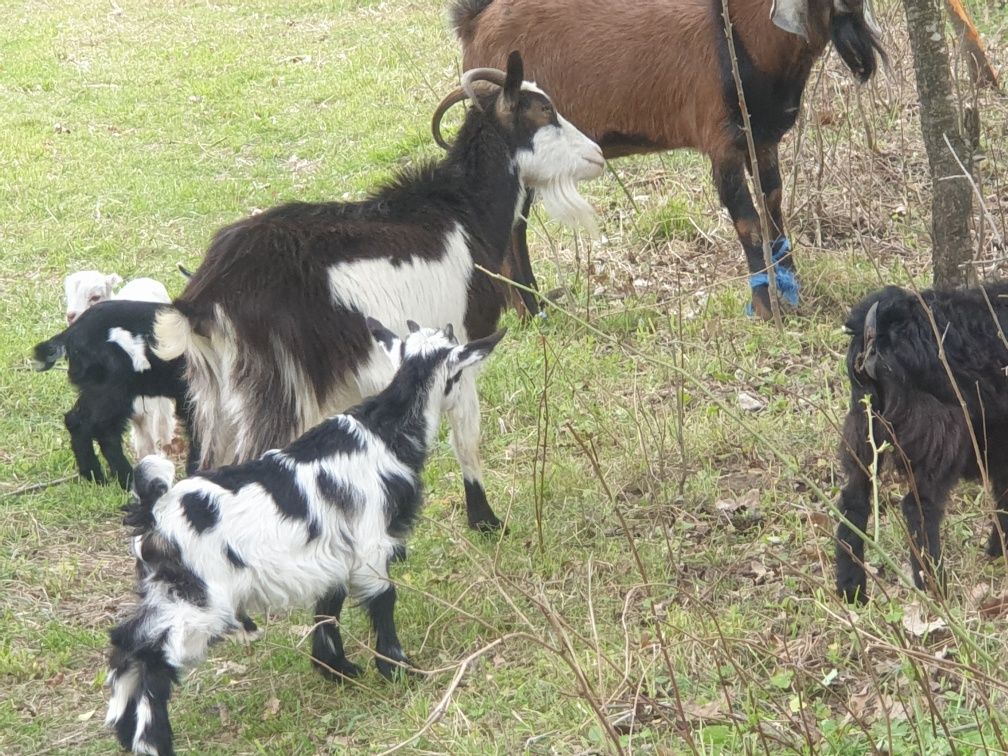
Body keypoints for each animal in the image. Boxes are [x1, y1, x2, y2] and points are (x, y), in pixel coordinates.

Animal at [32, 298, 197, 487]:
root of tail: (71, 333)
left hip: (101, 389)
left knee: (84, 423)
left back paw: (97, 477)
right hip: (112, 388)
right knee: (96, 428)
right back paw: (119, 479)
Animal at [453, 0, 887, 318]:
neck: (739, 35)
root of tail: (474, 22)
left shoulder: (762, 141)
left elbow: (774, 208)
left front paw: (792, 292)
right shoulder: (722, 144)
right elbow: (748, 223)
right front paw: (766, 311)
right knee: (513, 224)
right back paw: (530, 309)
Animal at [834, 284, 1008, 604]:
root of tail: (877, 327)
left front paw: (996, 552)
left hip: (863, 425)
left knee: (853, 500)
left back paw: (851, 588)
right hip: (940, 433)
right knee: (919, 508)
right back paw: (934, 586)